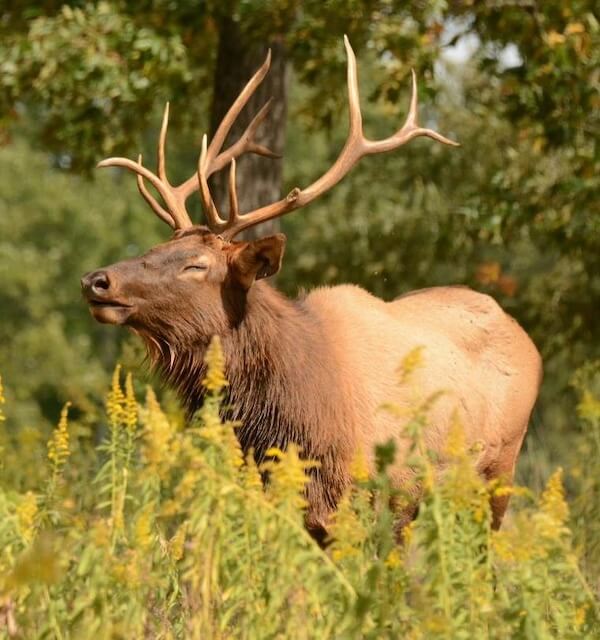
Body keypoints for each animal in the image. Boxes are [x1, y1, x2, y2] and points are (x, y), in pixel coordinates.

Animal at [81, 37, 542, 542]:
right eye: (155, 246)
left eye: (196, 265)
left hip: (499, 471)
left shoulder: (386, 498)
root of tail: (524, 335)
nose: (97, 280)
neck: (294, 420)